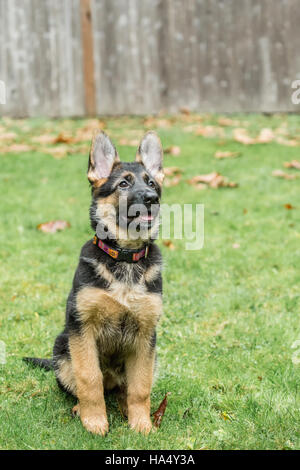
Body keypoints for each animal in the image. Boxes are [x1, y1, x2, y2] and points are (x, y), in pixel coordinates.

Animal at [24, 130, 164, 436]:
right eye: (123, 183)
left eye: (151, 182)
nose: (152, 198)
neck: (125, 258)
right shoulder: (82, 329)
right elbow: (89, 379)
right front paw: (95, 420)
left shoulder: (146, 336)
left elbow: (140, 387)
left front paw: (141, 423)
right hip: (63, 347)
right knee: (82, 385)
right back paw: (82, 408)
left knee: (125, 389)